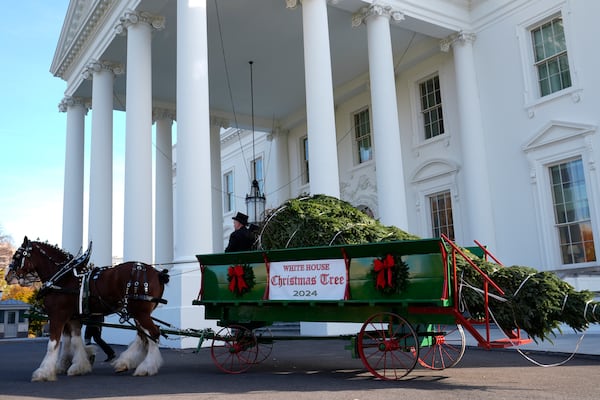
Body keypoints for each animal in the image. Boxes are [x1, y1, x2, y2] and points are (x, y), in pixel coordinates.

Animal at [6, 238, 171, 382]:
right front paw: (78, 366)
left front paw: (43, 372)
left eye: (17, 256)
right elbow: (75, 341)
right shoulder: (73, 318)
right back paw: (125, 362)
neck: (63, 277)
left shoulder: (57, 315)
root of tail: (158, 273)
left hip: (140, 312)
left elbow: (53, 344)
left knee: (153, 333)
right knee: (144, 335)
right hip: (137, 313)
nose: (7, 277)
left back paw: (146, 367)